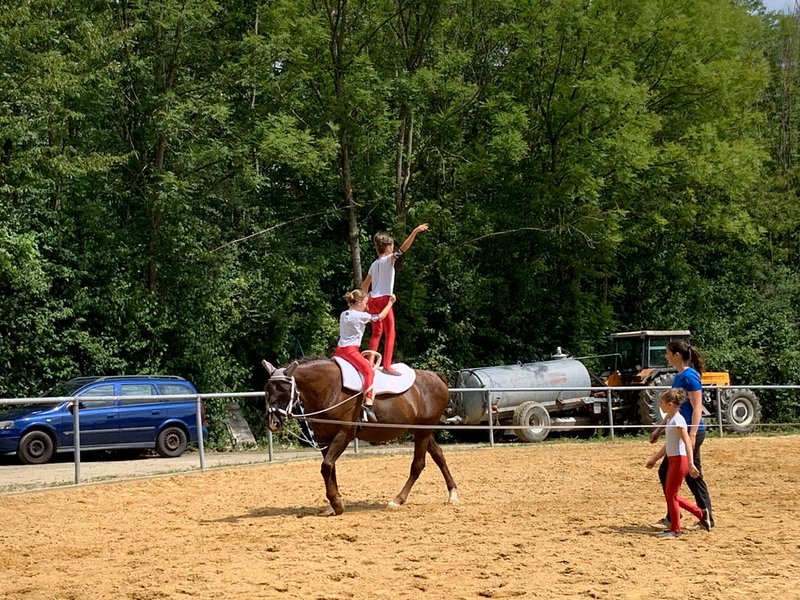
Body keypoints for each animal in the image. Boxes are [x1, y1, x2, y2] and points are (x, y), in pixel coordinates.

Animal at [262, 356, 460, 516]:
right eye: (267, 390)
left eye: (284, 391)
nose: (273, 422)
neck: (330, 388)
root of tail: (436, 377)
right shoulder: (323, 438)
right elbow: (331, 468)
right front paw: (334, 504)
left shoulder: (344, 434)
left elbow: (326, 466)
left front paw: (336, 503)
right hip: (420, 431)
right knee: (438, 456)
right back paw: (453, 493)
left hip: (423, 432)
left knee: (418, 465)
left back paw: (397, 500)